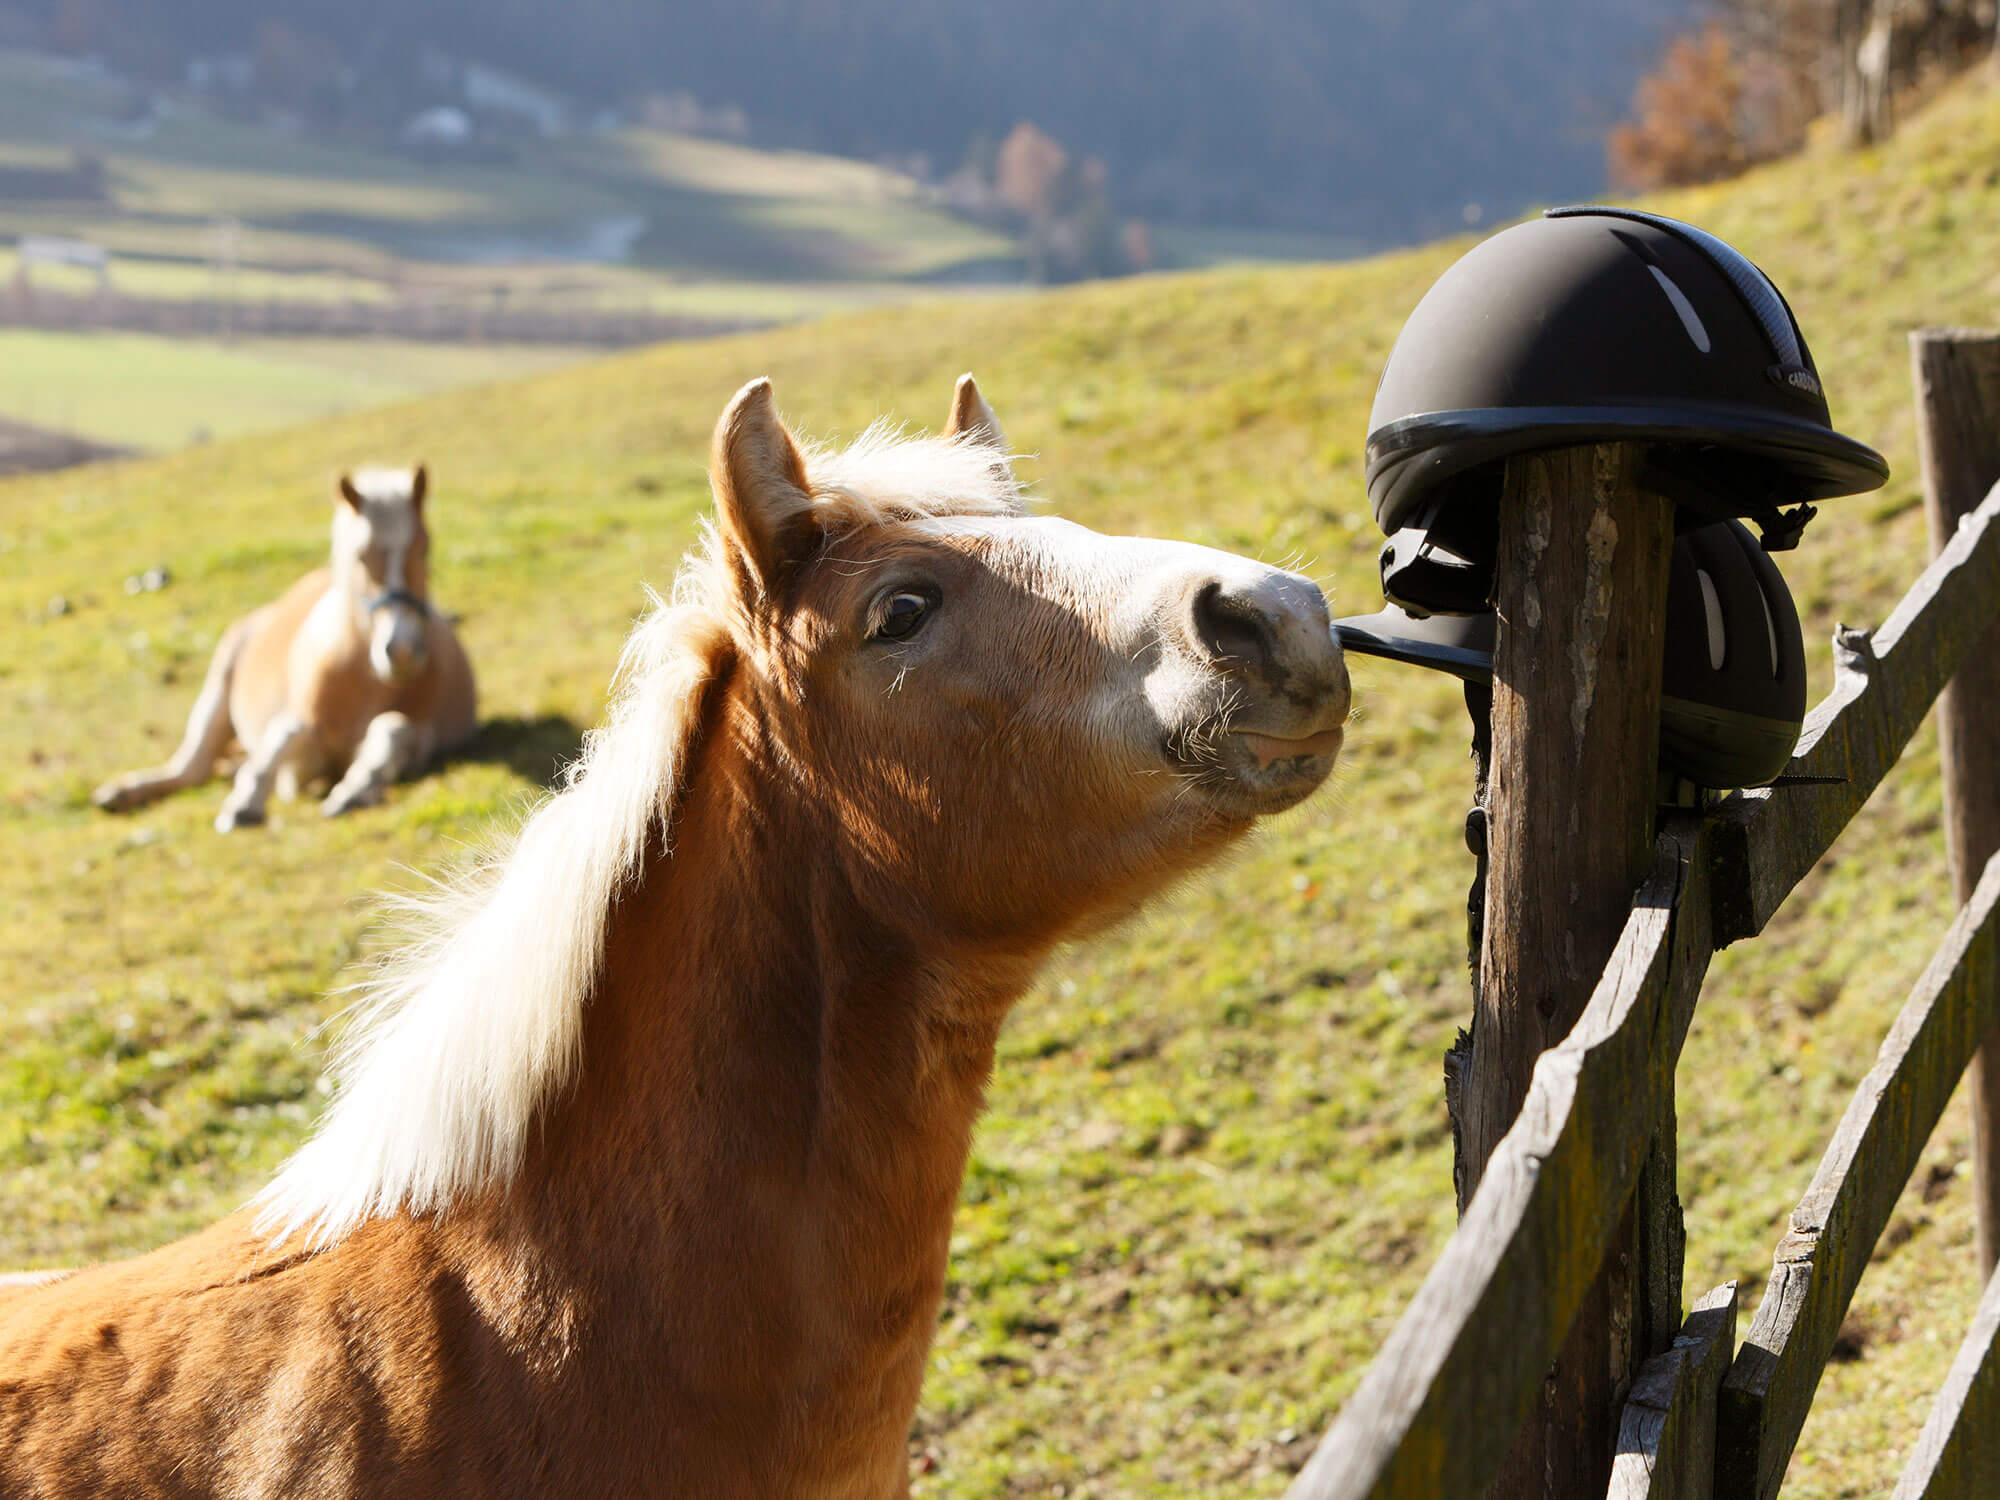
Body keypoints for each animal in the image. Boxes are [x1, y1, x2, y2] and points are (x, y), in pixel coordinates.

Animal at [92, 464, 477, 831]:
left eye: (426, 547)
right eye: (361, 555)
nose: (401, 649)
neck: (364, 677)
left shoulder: (420, 740)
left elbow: (393, 728)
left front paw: (356, 789)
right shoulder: (299, 768)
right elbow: (285, 733)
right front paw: (245, 802)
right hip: (220, 682)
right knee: (191, 767)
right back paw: (122, 792)